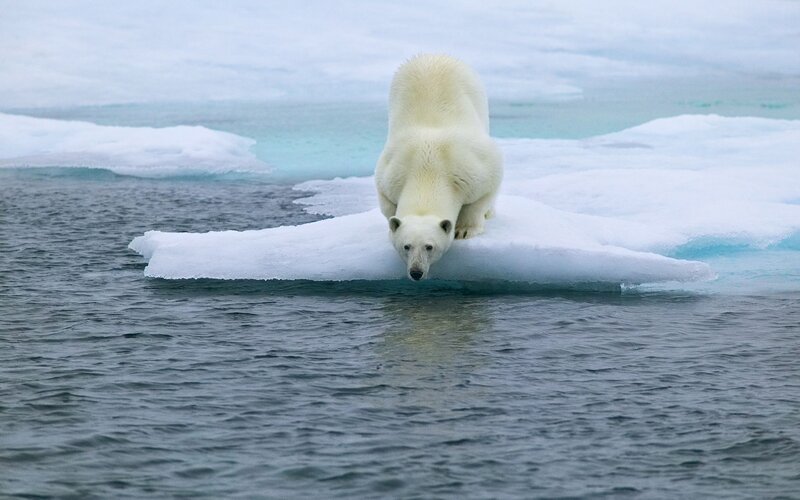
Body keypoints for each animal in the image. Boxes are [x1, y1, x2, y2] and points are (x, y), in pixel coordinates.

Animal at [375, 54, 503, 281]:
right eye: (406, 246)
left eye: (430, 246)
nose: (416, 272)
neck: (428, 169)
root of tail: (433, 54)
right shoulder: (390, 175)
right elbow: (388, 207)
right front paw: (391, 228)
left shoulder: (473, 169)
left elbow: (483, 193)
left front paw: (464, 230)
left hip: (476, 94)